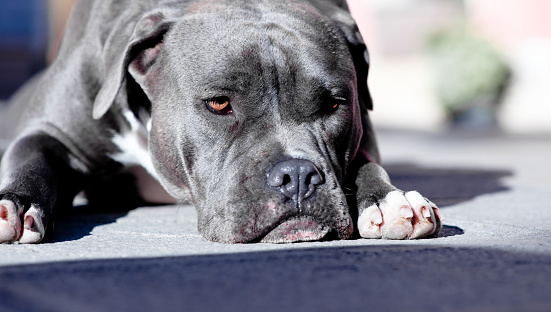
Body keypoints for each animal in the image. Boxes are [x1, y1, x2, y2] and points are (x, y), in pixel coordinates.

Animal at [0, 0, 442, 244]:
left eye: (333, 105)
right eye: (219, 104)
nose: (297, 175)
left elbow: (366, 161)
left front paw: (390, 199)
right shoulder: (51, 132)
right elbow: (31, 159)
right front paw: (13, 205)